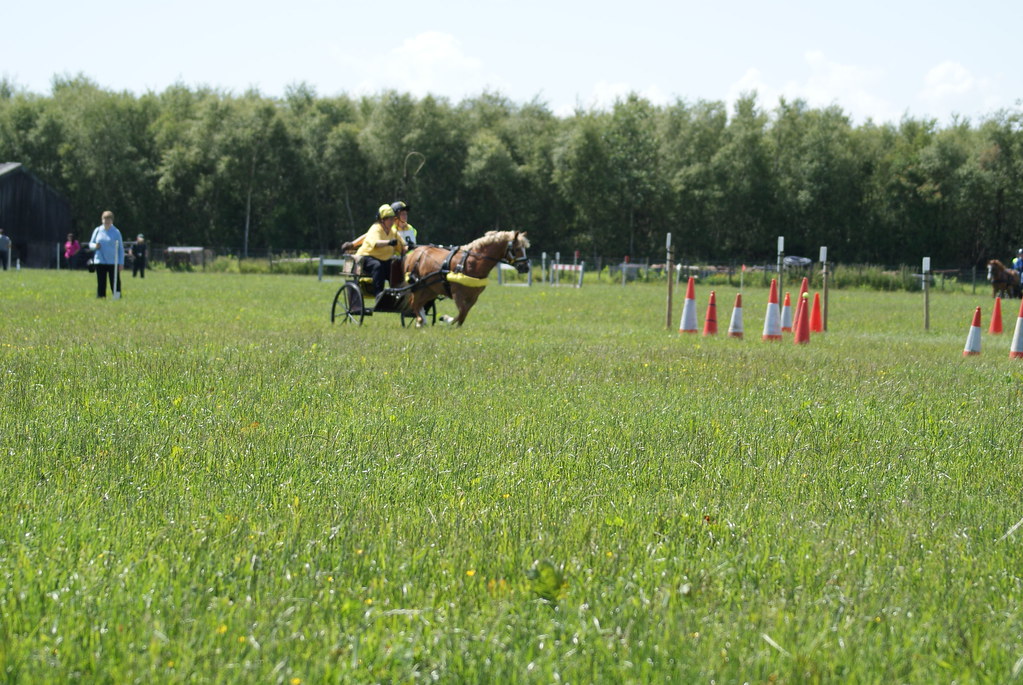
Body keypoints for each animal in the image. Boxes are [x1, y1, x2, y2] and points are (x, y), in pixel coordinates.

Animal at [402, 230, 530, 327]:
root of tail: (415, 252)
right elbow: (462, 311)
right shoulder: (457, 294)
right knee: (414, 304)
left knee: (418, 304)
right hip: (418, 287)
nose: (526, 267)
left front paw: (451, 322)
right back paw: (420, 321)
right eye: (517, 249)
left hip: (430, 290)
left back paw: (421, 321)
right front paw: (447, 319)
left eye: (525, 248)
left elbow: (464, 314)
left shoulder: (474, 296)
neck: (472, 263)